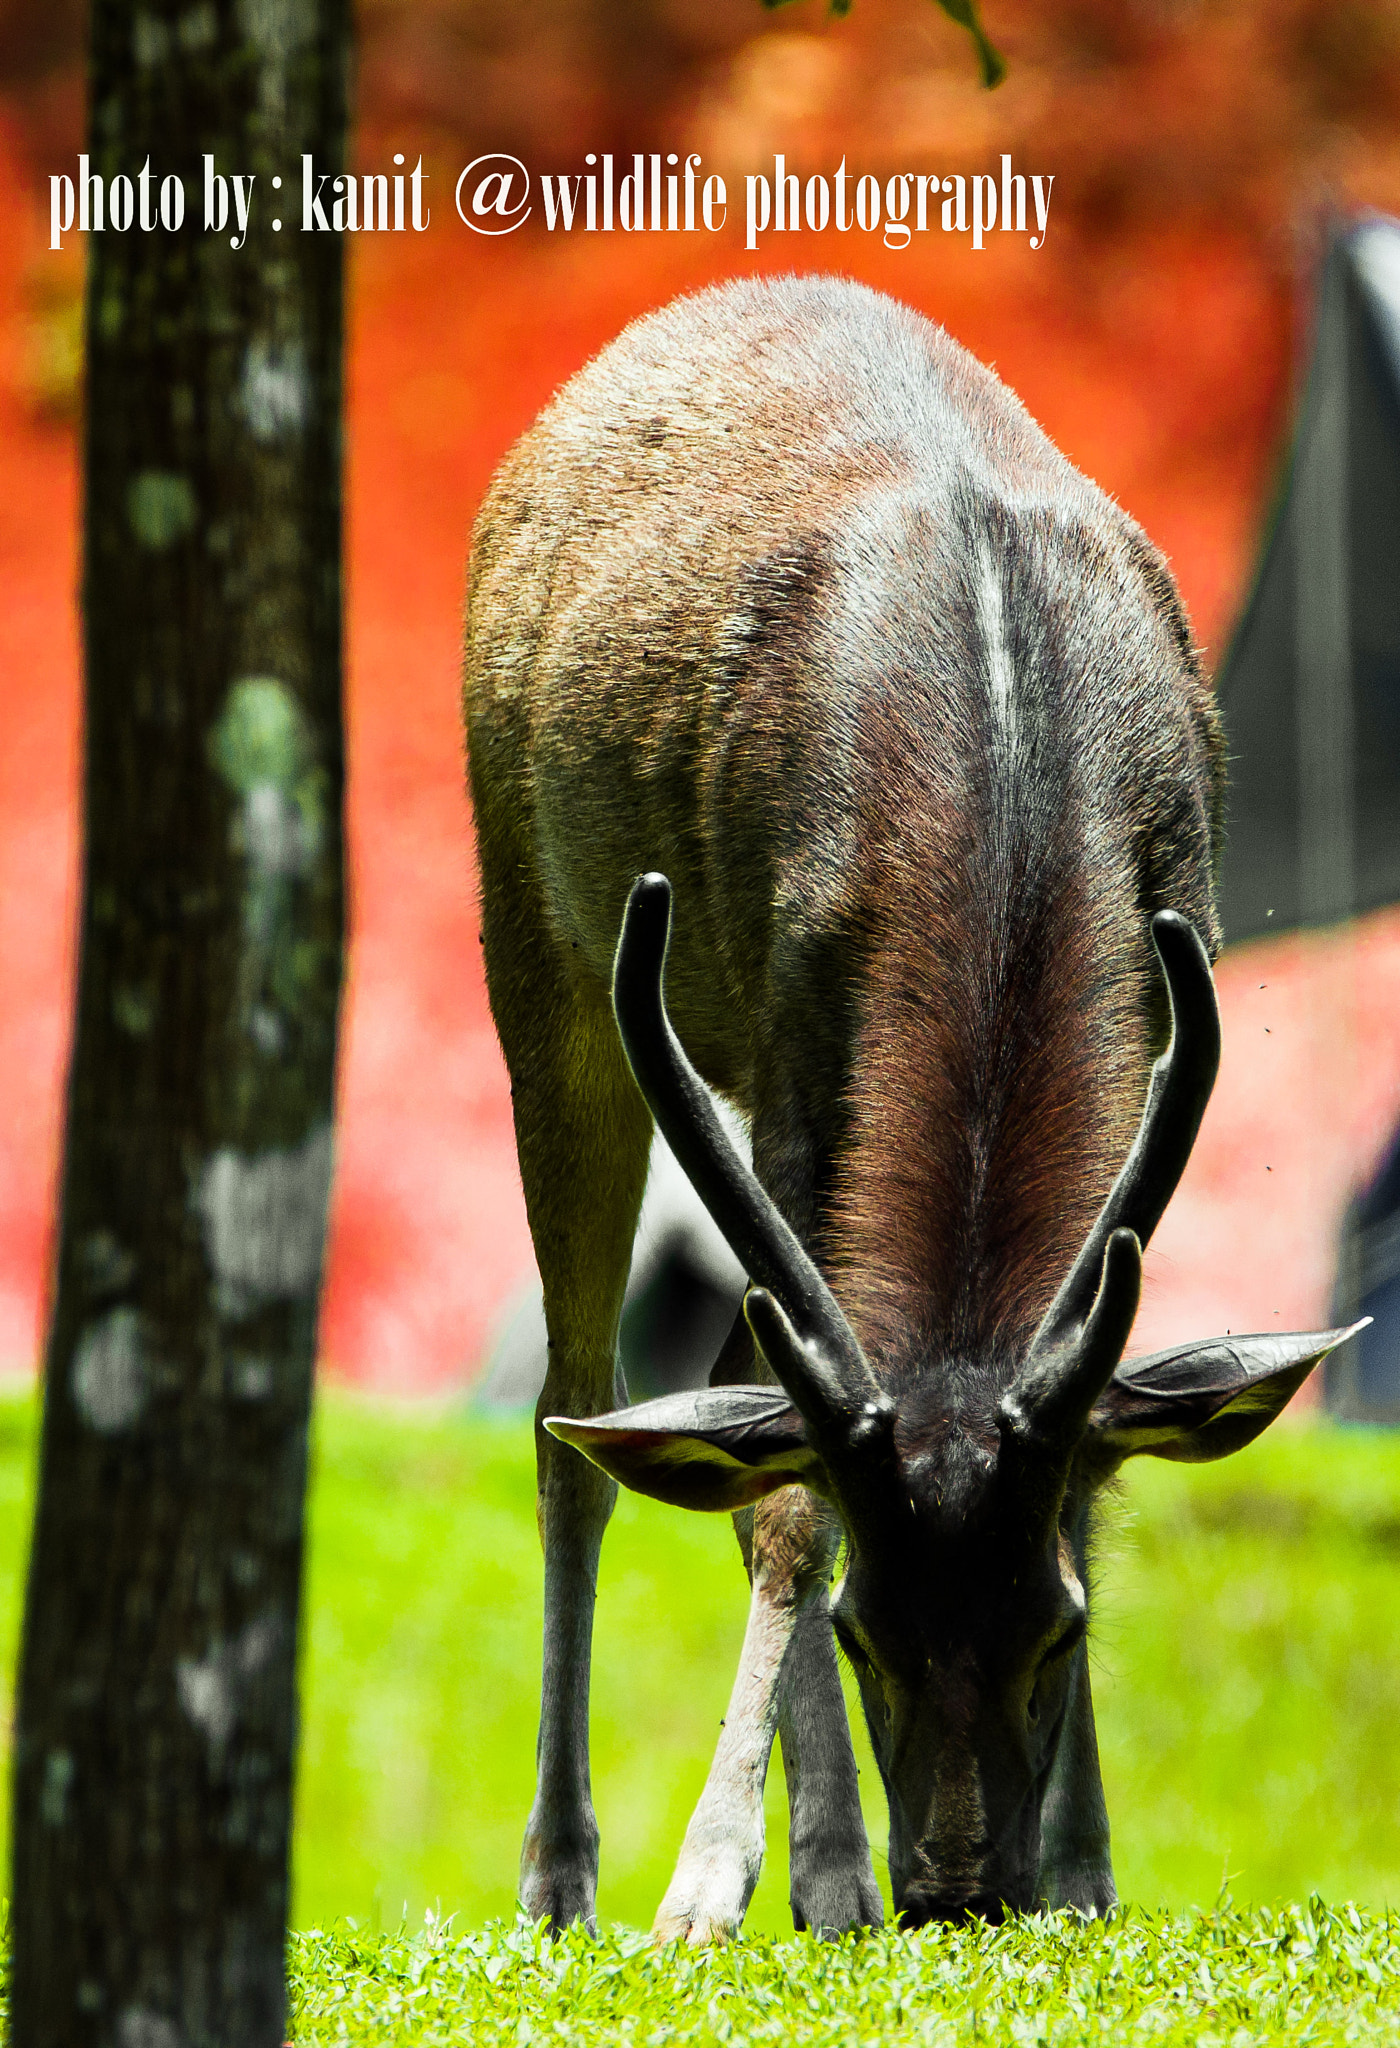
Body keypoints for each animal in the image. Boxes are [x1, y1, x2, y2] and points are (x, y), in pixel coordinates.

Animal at [464, 276, 1359, 1949]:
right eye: (867, 1635)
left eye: (1058, 1634)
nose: (959, 1896)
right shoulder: (796, 1038)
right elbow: (791, 1507)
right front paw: (740, 1880)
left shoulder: (1169, 1004)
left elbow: (1095, 1458)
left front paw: (1089, 1871)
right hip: (537, 944)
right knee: (576, 1419)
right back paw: (585, 1874)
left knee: (713, 1394)